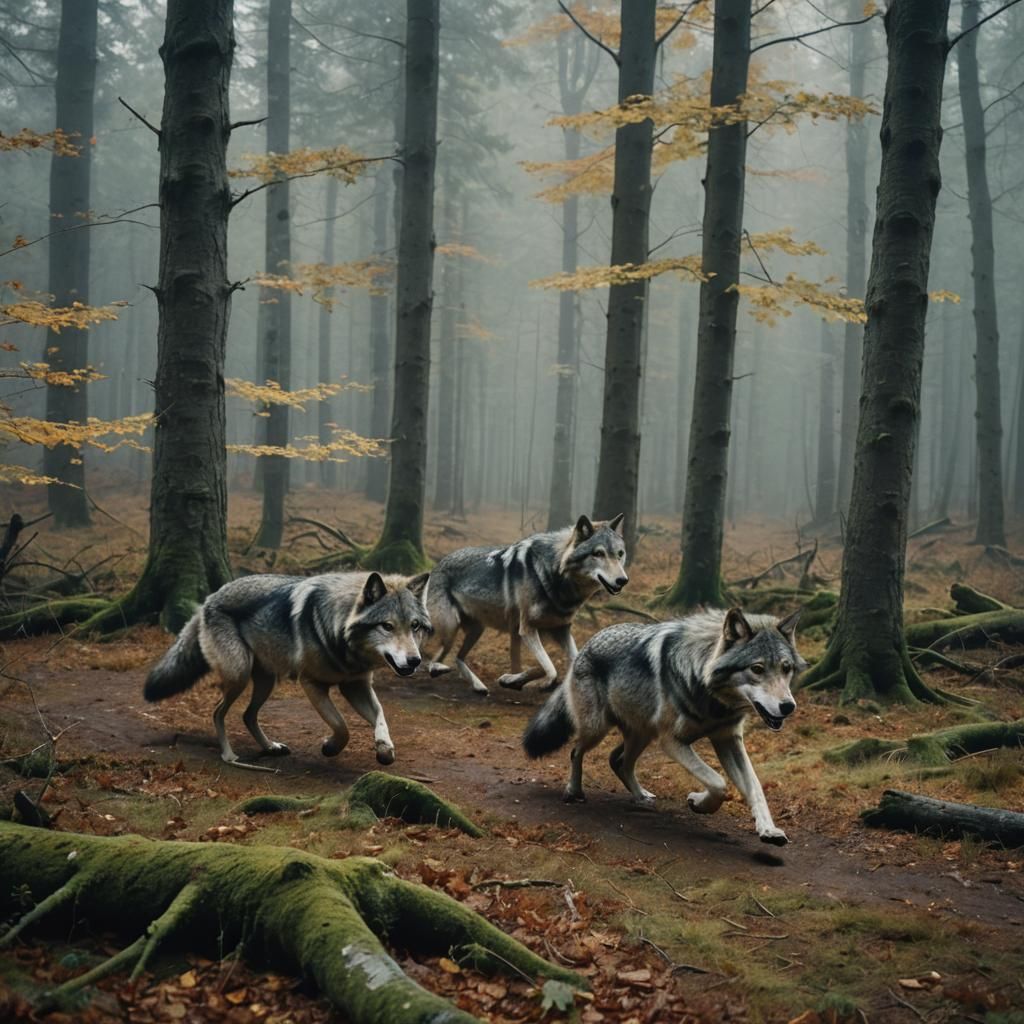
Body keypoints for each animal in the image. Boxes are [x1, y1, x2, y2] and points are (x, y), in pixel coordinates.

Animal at [143, 571, 431, 768]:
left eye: (415, 626)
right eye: (387, 626)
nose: (415, 661)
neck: (339, 632)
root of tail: (209, 598)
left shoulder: (355, 685)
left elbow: (381, 716)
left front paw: (384, 749)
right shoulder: (312, 684)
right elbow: (341, 727)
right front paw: (330, 748)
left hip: (266, 681)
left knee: (247, 715)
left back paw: (270, 747)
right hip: (240, 675)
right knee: (217, 712)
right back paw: (229, 755)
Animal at [423, 514, 629, 694]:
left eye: (620, 554)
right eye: (598, 553)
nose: (623, 580)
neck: (555, 576)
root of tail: (438, 564)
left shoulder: (561, 629)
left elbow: (566, 663)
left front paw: (514, 680)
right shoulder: (527, 629)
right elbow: (550, 669)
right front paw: (519, 681)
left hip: (476, 630)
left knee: (457, 657)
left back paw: (478, 686)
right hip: (450, 628)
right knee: (432, 656)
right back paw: (438, 668)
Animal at [522, 606, 805, 845]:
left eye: (786, 668)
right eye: (757, 668)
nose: (788, 707)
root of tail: (589, 643)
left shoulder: (728, 739)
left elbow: (755, 787)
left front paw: (769, 830)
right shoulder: (673, 741)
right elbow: (717, 782)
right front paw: (699, 803)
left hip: (642, 735)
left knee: (619, 761)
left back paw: (640, 796)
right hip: (598, 729)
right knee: (576, 751)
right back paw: (574, 791)